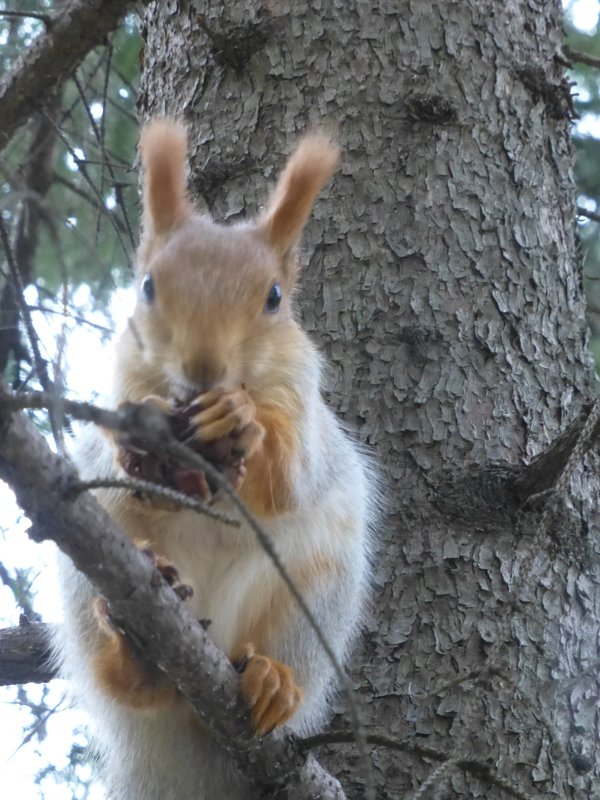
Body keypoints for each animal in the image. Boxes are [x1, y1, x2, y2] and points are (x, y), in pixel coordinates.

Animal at [56, 120, 376, 800]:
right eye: (148, 286)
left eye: (275, 297)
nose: (203, 368)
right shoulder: (123, 373)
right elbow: (119, 442)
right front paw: (138, 441)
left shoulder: (302, 395)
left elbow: (290, 476)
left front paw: (240, 419)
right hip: (88, 569)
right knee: (125, 679)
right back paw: (136, 657)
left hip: (315, 593)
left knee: (287, 654)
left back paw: (274, 682)